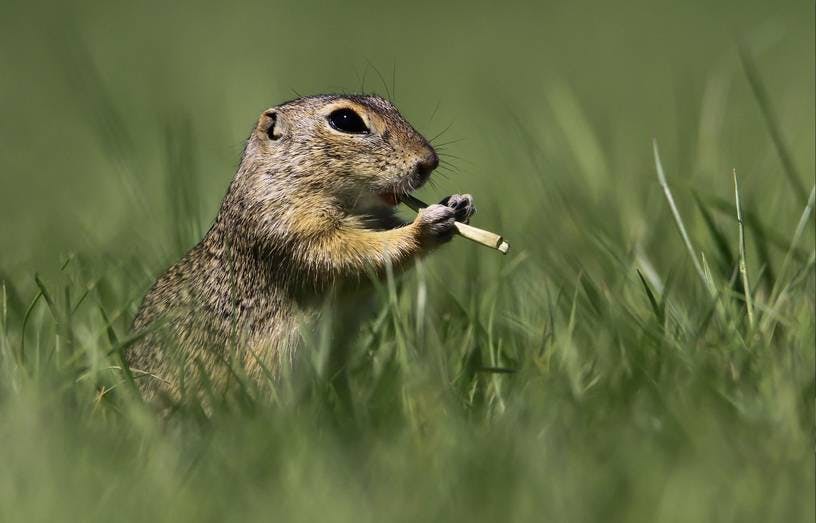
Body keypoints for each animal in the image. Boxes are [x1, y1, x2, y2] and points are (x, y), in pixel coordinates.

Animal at [125, 95, 474, 402]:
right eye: (345, 120)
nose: (429, 161)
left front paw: (459, 204)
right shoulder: (290, 230)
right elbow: (352, 253)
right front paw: (428, 224)